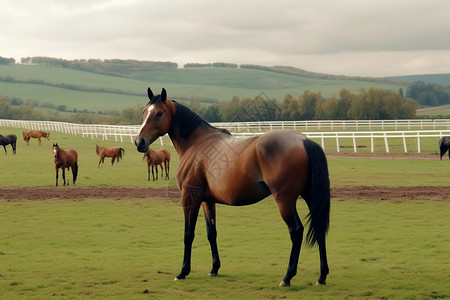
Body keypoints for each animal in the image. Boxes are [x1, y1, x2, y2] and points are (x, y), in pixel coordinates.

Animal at [134, 87, 330, 288]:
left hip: (285, 200)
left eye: (159, 113)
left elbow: (188, 234)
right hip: (310, 196)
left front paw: (183, 272)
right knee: (319, 228)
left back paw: (287, 277)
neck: (197, 144)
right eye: (144, 112)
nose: (139, 142)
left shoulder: (189, 198)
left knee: (296, 231)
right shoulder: (207, 201)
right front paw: (214, 269)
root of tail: (304, 141)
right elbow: (211, 232)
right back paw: (321, 276)